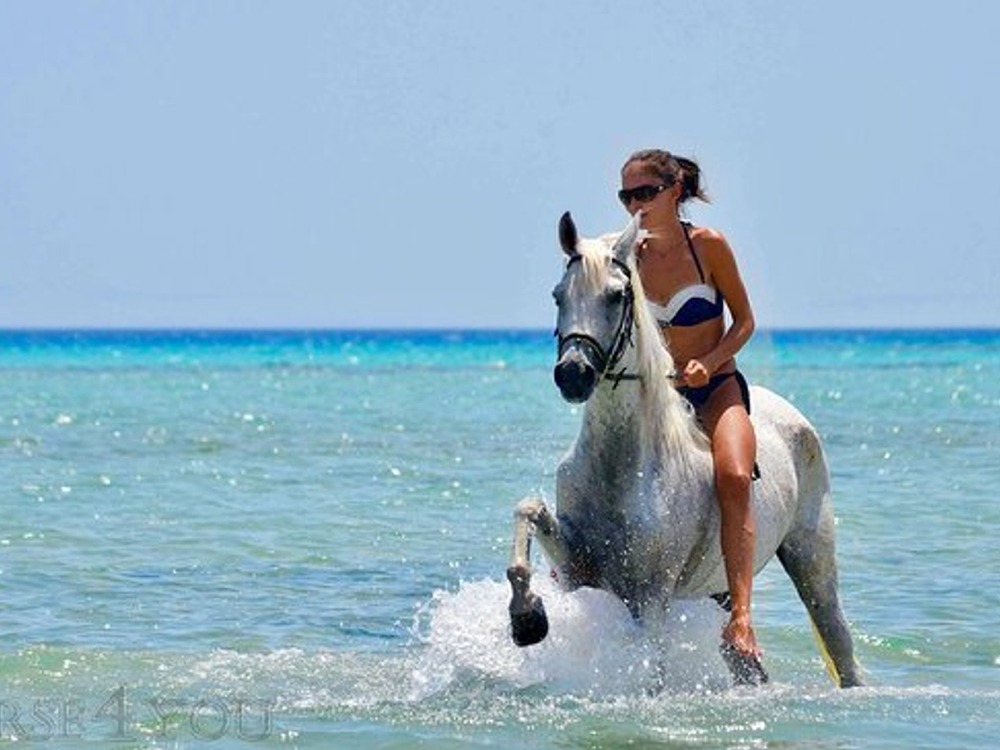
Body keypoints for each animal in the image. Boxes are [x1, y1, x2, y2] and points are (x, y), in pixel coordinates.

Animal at [506, 211, 862, 688]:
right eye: (558, 295)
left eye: (616, 295)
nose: (573, 374)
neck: (624, 467)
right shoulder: (580, 569)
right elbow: (527, 511)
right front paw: (527, 618)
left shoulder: (651, 595)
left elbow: (652, 668)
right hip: (719, 591)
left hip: (812, 561)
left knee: (838, 641)